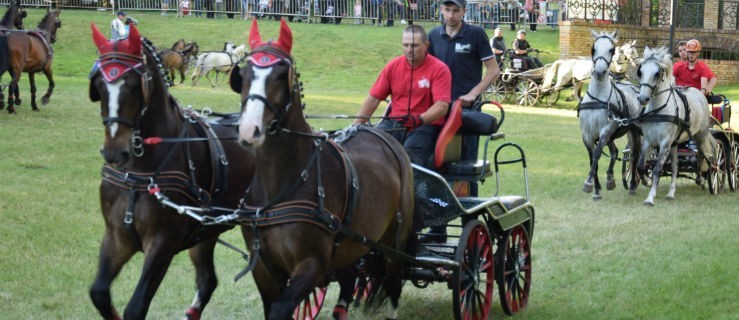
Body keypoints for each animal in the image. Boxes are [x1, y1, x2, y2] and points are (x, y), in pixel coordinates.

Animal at [87, 23, 251, 318]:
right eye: (99, 86)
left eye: (133, 85)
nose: (115, 153)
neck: (138, 174)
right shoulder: (117, 236)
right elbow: (99, 293)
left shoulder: (162, 243)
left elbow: (136, 306)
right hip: (206, 234)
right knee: (207, 281)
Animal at [230, 18, 416, 318]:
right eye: (244, 75)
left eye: (281, 75)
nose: (249, 130)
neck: (279, 188)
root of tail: (385, 136)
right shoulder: (264, 271)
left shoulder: (312, 264)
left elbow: (282, 308)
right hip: (352, 246)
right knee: (350, 281)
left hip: (394, 242)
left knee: (393, 285)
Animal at [580, 30, 640, 200]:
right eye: (593, 48)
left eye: (611, 50)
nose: (600, 72)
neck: (598, 98)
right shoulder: (587, 135)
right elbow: (592, 158)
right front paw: (596, 189)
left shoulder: (605, 131)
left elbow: (597, 155)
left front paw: (589, 183)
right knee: (615, 152)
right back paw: (610, 178)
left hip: (634, 131)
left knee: (635, 154)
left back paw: (632, 185)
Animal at [636, 46, 716, 206]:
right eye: (640, 71)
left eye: (657, 73)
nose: (642, 98)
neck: (659, 110)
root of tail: (700, 94)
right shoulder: (648, 140)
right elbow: (641, 166)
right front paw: (647, 181)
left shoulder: (665, 142)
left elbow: (657, 169)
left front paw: (650, 197)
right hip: (675, 143)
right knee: (675, 166)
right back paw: (671, 193)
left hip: (700, 136)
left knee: (705, 155)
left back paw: (703, 177)